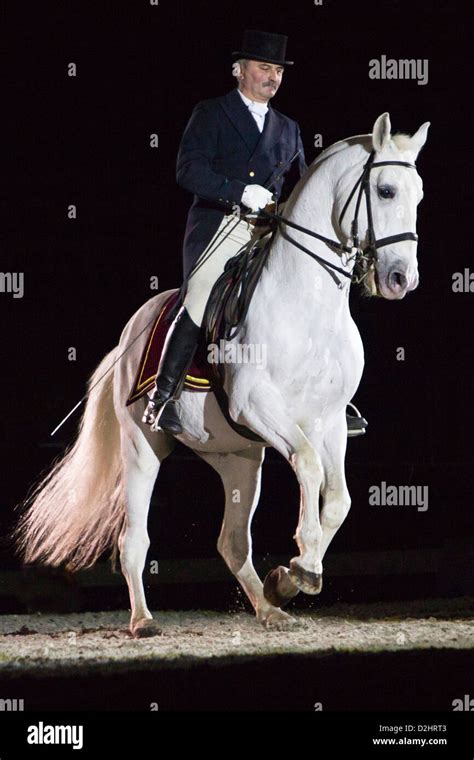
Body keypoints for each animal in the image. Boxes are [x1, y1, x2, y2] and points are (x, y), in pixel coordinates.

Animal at [14, 113, 429, 637]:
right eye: (387, 190)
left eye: (419, 196)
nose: (401, 280)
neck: (310, 305)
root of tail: (129, 335)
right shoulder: (258, 406)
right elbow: (309, 465)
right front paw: (302, 567)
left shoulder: (330, 420)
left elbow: (338, 498)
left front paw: (293, 576)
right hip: (142, 448)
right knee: (134, 541)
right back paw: (144, 620)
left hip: (239, 458)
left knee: (231, 541)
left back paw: (271, 608)